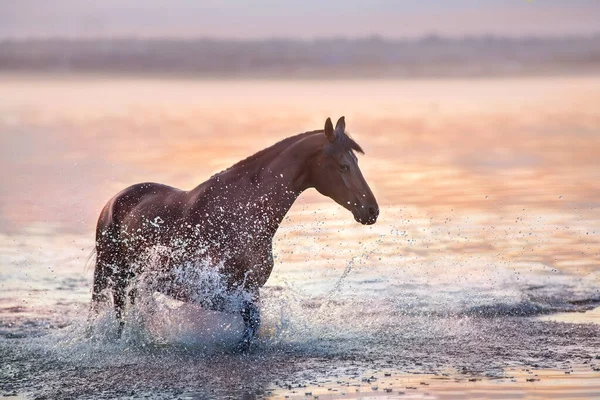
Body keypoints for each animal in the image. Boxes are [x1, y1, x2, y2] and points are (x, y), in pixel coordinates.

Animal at [88, 116, 380, 350]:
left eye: (355, 161)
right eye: (343, 166)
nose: (372, 210)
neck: (241, 213)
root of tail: (115, 200)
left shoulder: (251, 287)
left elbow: (253, 323)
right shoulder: (212, 290)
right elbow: (250, 317)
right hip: (108, 271)